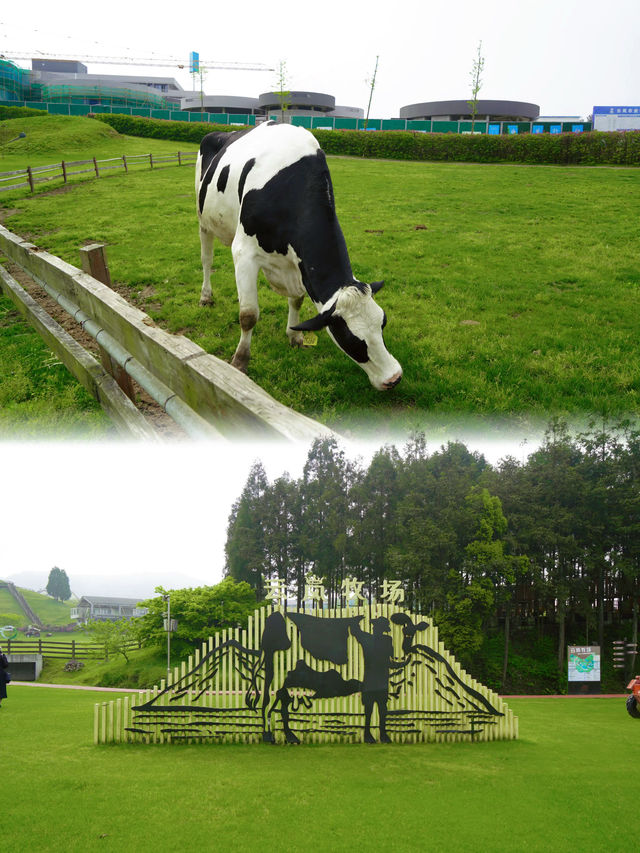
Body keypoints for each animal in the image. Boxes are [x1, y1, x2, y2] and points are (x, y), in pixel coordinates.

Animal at [196, 120, 400, 392]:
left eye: (383, 322)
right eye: (349, 337)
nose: (394, 377)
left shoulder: (297, 265)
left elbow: (297, 301)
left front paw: (294, 336)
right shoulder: (244, 252)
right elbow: (248, 315)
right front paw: (240, 362)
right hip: (203, 221)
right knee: (206, 260)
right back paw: (206, 296)